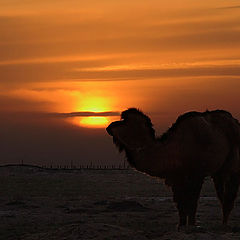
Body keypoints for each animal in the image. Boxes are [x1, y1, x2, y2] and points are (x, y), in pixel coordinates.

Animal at [107, 108, 240, 229]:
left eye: (124, 121)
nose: (109, 127)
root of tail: (235, 122)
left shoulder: (196, 174)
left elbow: (192, 201)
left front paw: (192, 225)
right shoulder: (176, 178)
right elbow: (180, 203)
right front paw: (181, 225)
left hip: (232, 165)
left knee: (229, 195)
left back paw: (224, 224)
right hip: (218, 172)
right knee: (222, 195)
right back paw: (223, 223)